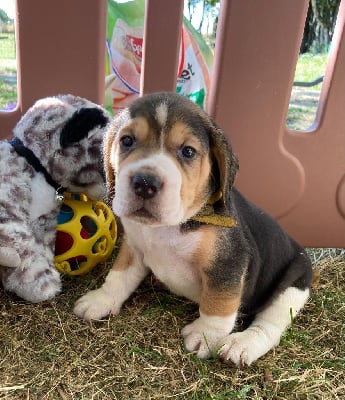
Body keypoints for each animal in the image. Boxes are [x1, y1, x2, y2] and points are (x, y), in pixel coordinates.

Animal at [73, 91, 312, 366]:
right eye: (127, 141)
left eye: (188, 151)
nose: (145, 183)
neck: (168, 225)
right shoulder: (132, 247)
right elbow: (118, 276)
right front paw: (102, 299)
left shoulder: (227, 263)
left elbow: (218, 306)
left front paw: (205, 335)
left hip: (293, 284)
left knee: (270, 324)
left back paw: (242, 344)